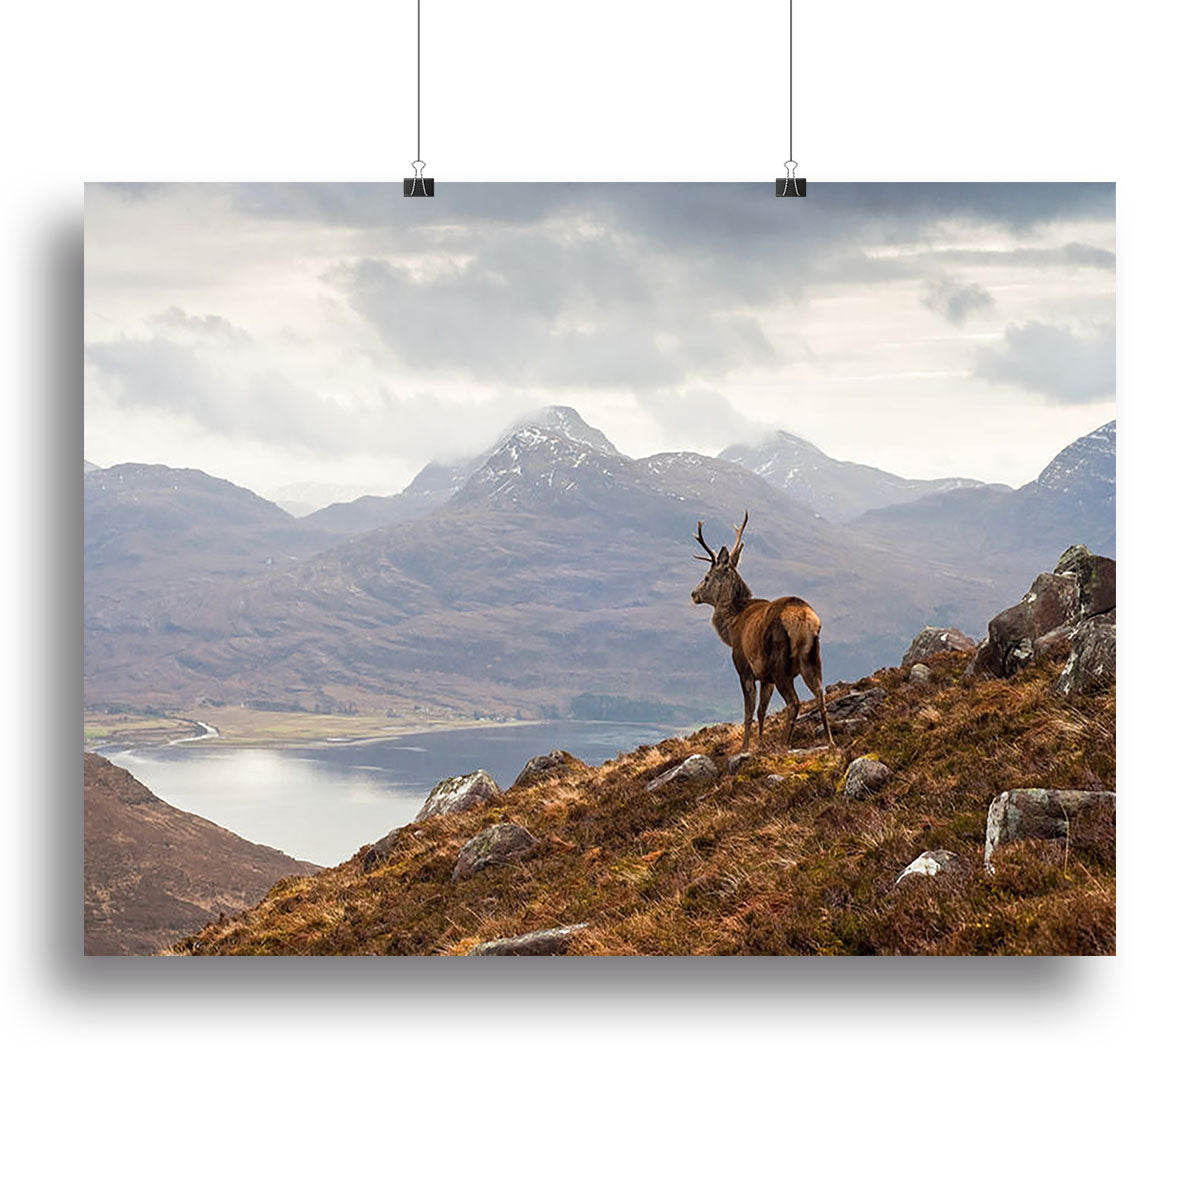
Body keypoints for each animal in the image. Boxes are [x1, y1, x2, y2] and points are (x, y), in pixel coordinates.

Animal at [691, 511, 834, 752]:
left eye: (707, 577)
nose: (694, 594)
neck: (730, 627)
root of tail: (805, 619)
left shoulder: (744, 667)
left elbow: (749, 711)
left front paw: (745, 747)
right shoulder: (766, 677)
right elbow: (762, 711)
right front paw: (759, 743)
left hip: (780, 662)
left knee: (794, 702)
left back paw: (784, 744)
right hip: (813, 657)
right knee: (820, 694)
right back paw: (830, 741)